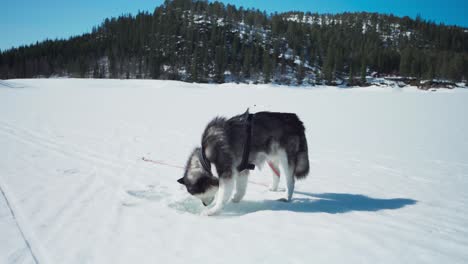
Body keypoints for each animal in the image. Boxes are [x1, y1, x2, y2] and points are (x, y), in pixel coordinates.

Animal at [177, 110, 308, 216]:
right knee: (277, 173)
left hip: (286, 158)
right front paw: (236, 199)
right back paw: (273, 188)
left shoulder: (226, 172)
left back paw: (287, 198)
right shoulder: (242, 168)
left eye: (200, 194)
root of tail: (295, 119)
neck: (205, 159)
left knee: (290, 181)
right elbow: (241, 187)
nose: (204, 204)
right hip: (271, 156)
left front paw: (212, 211)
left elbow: (222, 195)